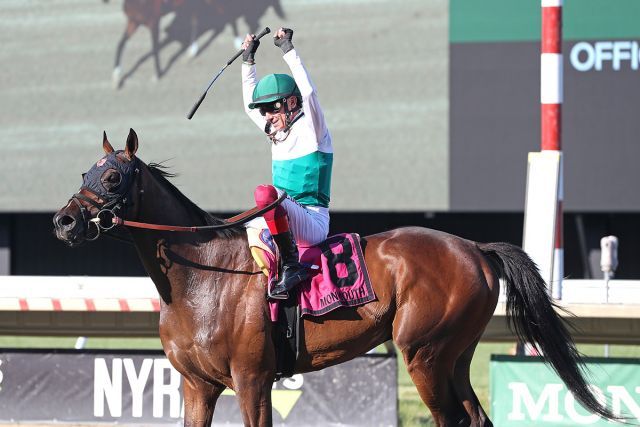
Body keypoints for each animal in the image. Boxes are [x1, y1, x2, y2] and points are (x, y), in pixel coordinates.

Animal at [52, 129, 616, 426]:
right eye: (83, 173)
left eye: (113, 176)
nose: (64, 221)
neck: (202, 279)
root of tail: (474, 248)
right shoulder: (197, 386)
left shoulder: (252, 380)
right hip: (455, 356)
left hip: (424, 354)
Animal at [107, 0, 284, 88]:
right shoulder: (133, 21)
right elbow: (121, 44)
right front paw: (116, 77)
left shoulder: (153, 22)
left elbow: (155, 47)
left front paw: (156, 74)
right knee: (198, 18)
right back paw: (192, 50)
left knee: (226, 14)